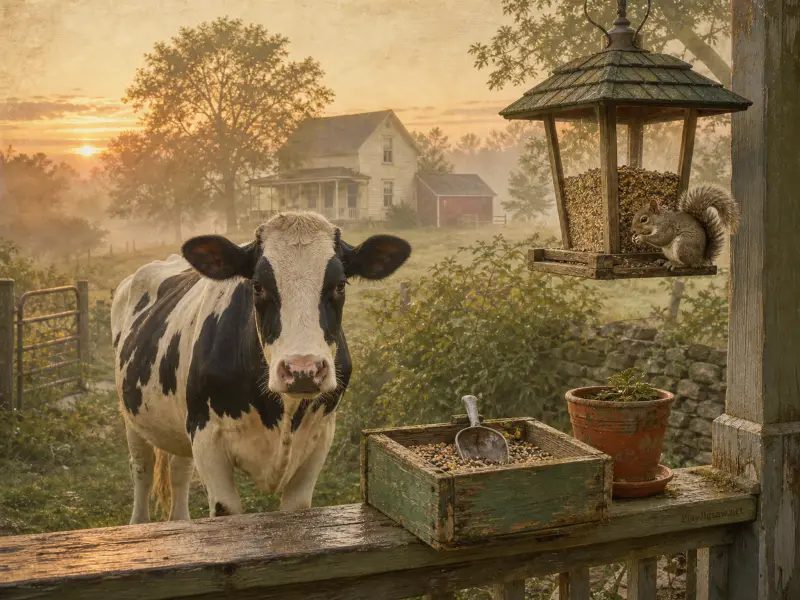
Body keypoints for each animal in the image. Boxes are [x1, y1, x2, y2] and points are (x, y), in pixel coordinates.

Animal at [111, 211, 411, 523]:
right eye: (257, 285)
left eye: (340, 284)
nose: (302, 370)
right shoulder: (206, 435)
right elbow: (226, 509)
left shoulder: (321, 436)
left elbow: (297, 507)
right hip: (133, 416)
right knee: (142, 471)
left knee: (180, 472)